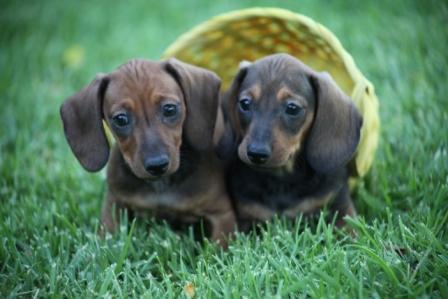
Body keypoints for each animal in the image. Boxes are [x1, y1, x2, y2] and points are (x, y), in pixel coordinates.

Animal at [60, 58, 236, 246]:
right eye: (120, 119)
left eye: (169, 109)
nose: (157, 165)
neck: (161, 185)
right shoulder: (114, 204)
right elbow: (105, 236)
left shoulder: (222, 214)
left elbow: (219, 245)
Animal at [214, 54, 364, 231]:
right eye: (245, 103)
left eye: (292, 108)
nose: (256, 153)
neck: (282, 179)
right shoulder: (246, 217)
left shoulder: (341, 208)